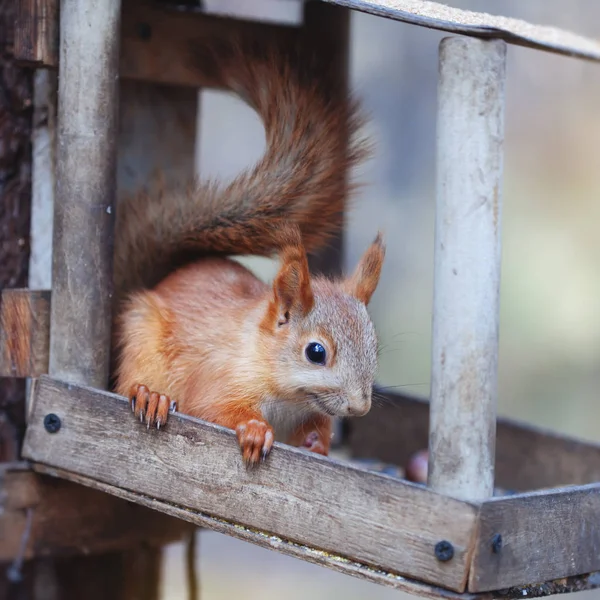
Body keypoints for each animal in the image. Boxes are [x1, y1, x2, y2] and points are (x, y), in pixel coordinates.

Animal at [112, 35, 384, 466]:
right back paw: (150, 396)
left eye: (375, 346)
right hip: (142, 336)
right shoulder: (218, 377)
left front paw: (318, 444)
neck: (289, 397)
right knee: (129, 385)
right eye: (316, 352)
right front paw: (255, 430)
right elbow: (212, 407)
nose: (360, 407)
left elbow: (315, 431)